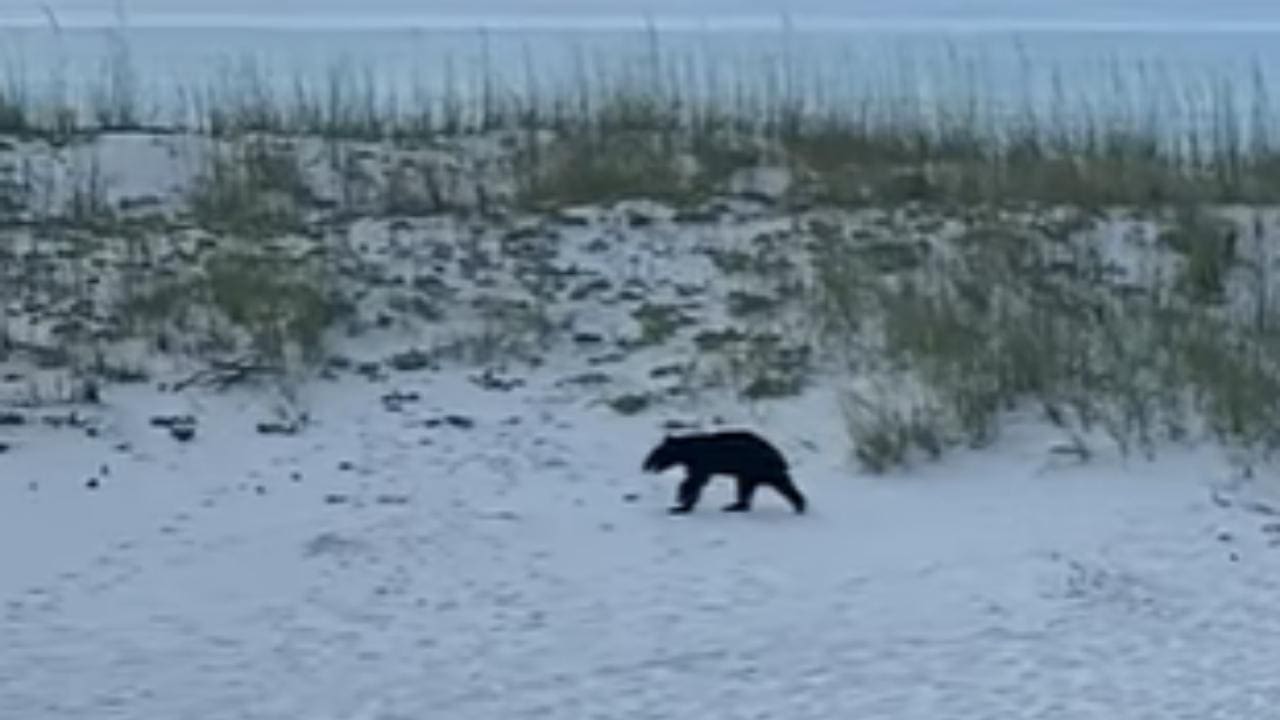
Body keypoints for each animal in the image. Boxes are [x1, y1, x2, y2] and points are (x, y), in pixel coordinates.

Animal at [640, 427, 808, 512]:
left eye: (655, 453)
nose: (644, 465)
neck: (689, 452)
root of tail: (778, 455)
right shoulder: (696, 465)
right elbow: (695, 481)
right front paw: (683, 504)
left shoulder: (702, 462)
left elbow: (694, 480)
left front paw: (679, 502)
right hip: (751, 472)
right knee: (747, 488)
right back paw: (735, 505)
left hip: (758, 467)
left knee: (781, 483)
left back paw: (800, 504)